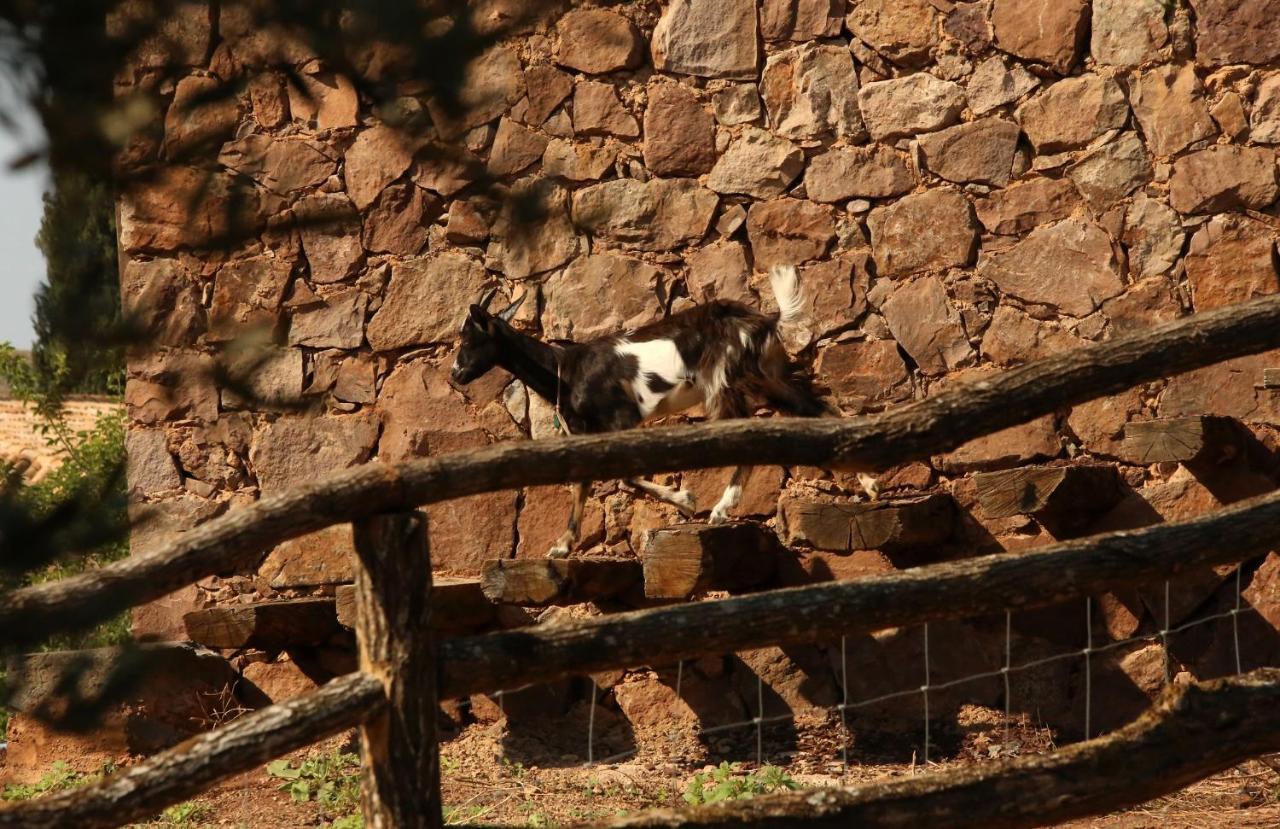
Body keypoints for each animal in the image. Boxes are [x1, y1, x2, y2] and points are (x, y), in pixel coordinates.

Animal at [455, 268, 834, 560]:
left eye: (469, 339)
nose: (455, 374)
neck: (565, 369)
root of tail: (765, 320)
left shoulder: (622, 417)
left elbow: (626, 476)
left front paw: (686, 500)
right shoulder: (589, 432)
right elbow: (583, 483)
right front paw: (562, 546)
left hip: (725, 380)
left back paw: (719, 509)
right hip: (767, 376)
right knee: (817, 409)